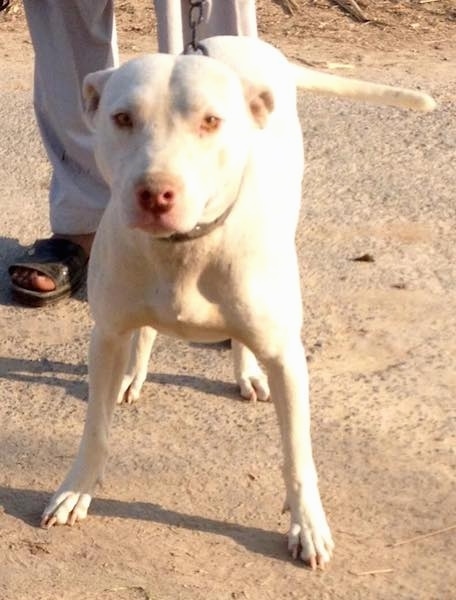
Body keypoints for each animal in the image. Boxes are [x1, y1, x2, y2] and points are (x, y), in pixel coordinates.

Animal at [41, 35, 434, 568]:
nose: (154, 193)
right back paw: (133, 374)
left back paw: (246, 371)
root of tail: (234, 42)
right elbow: (96, 430)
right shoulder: (106, 336)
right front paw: (76, 489)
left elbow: (298, 456)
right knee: (145, 334)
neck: (186, 248)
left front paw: (307, 525)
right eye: (122, 118)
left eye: (211, 121)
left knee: (243, 338)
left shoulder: (288, 359)